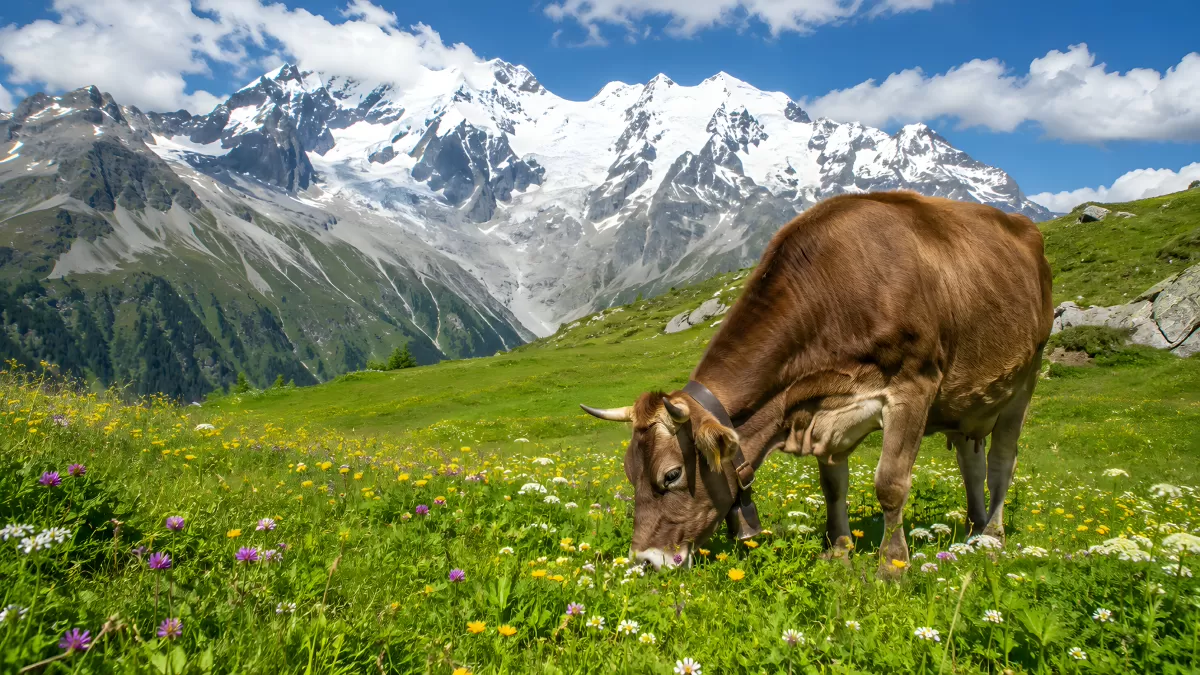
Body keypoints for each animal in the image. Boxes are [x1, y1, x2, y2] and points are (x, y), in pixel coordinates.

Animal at [581, 191, 1053, 576]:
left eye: (672, 474)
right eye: (629, 473)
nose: (644, 561)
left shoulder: (914, 386)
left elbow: (890, 485)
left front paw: (892, 566)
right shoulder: (825, 408)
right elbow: (832, 486)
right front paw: (838, 551)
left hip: (1025, 378)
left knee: (1001, 461)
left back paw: (992, 535)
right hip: (968, 401)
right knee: (971, 459)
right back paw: (973, 526)